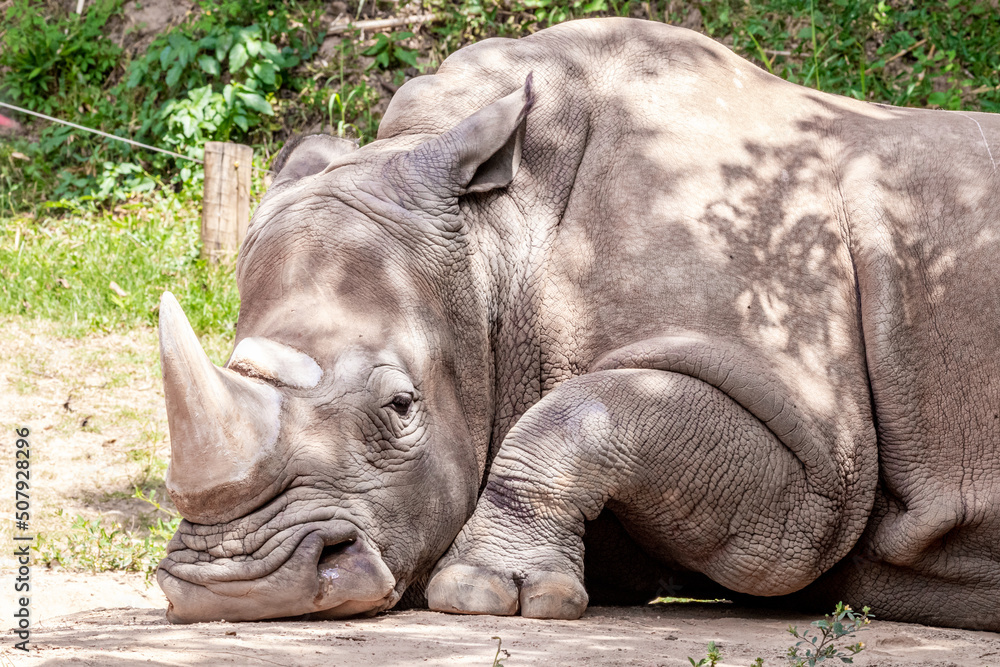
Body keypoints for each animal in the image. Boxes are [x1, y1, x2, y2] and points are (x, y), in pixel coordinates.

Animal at [156, 18, 1000, 631]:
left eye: (400, 406)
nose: (235, 583)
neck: (498, 239)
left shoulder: (816, 452)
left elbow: (588, 415)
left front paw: (487, 593)